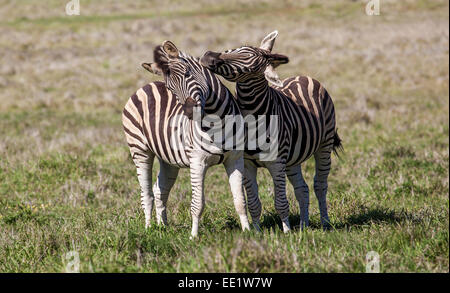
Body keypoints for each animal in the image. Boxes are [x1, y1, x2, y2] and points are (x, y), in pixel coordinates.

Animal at [121, 40, 251, 237]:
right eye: (170, 88)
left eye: (188, 73)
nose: (190, 112)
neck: (217, 120)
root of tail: (147, 85)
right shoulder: (197, 162)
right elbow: (197, 204)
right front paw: (193, 236)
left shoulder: (235, 159)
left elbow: (240, 200)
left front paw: (249, 231)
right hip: (139, 150)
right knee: (147, 194)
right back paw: (149, 228)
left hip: (168, 158)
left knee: (160, 190)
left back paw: (162, 227)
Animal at [200, 29, 342, 230]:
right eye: (234, 49)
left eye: (248, 63)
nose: (208, 56)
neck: (252, 116)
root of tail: (304, 77)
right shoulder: (248, 163)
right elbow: (253, 202)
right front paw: (257, 231)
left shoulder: (276, 163)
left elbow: (281, 202)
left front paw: (286, 231)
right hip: (292, 159)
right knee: (302, 188)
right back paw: (304, 225)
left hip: (324, 144)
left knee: (320, 185)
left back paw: (325, 224)